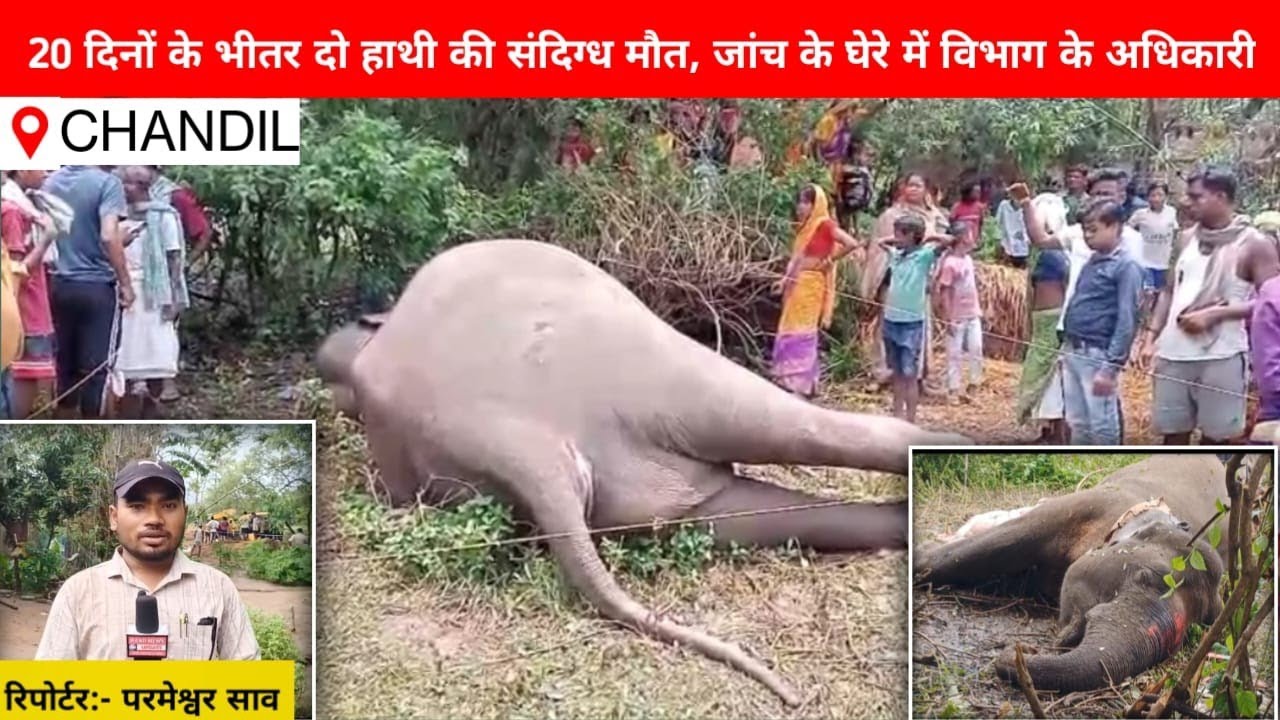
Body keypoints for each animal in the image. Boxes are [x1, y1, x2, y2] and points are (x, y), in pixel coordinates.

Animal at [914, 454, 1230, 694]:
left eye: (1202, 623)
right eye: (1146, 576)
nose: (1023, 651)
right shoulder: (1091, 504)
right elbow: (1006, 540)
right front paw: (920, 555)